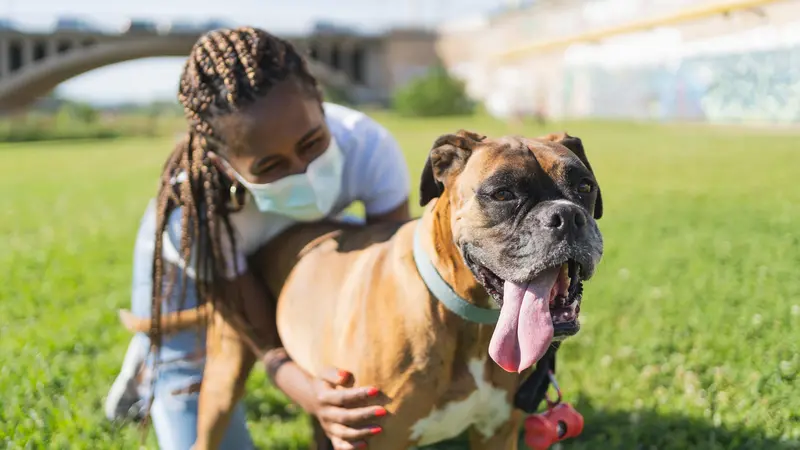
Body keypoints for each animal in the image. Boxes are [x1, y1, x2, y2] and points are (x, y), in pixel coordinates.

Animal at [122, 130, 604, 450]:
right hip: (222, 381)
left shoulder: (496, 434)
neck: (468, 322)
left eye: (584, 186)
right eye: (503, 193)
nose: (567, 216)